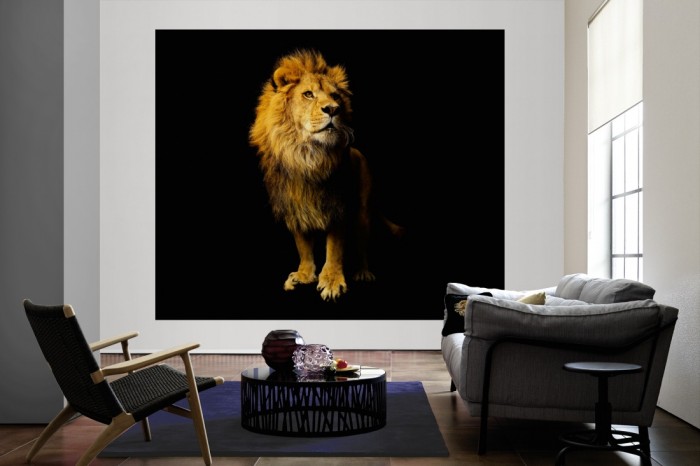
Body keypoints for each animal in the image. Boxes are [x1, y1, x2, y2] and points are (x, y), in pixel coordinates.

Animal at [249, 49, 403, 301]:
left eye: (335, 96)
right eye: (308, 94)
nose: (332, 109)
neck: (306, 156)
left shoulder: (337, 206)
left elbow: (335, 248)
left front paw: (331, 281)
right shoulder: (294, 207)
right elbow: (302, 245)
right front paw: (303, 275)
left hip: (362, 212)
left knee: (362, 244)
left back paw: (363, 272)